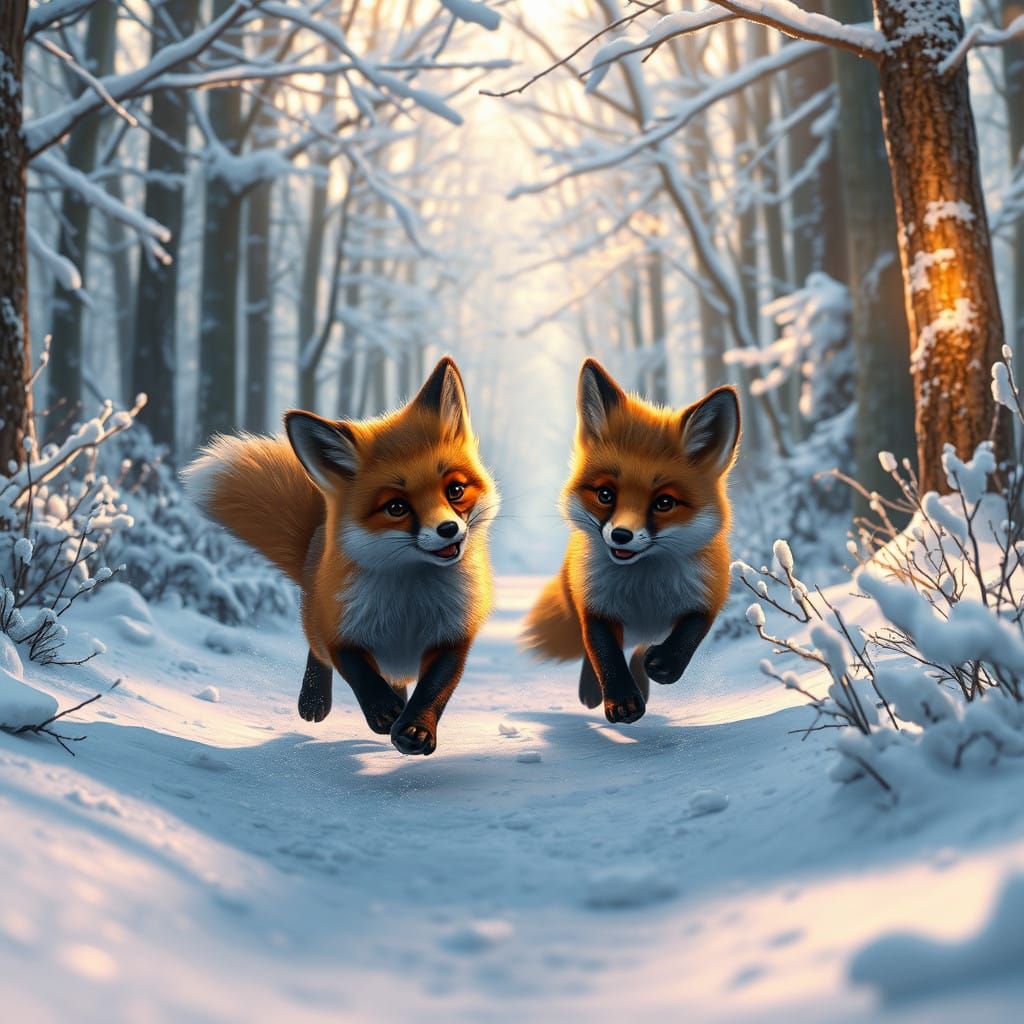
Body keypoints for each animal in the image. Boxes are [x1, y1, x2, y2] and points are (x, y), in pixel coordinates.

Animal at [182, 357, 500, 756]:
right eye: (396, 508)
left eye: (455, 490)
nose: (448, 530)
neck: (409, 603)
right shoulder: (340, 629)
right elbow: (358, 672)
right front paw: (382, 711)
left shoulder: (454, 636)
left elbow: (435, 687)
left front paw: (416, 727)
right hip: (317, 619)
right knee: (318, 652)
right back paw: (315, 700)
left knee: (398, 678)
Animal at [523, 358, 740, 725]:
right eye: (605, 495)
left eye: (664, 503)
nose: (621, 535)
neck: (644, 591)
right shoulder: (594, 604)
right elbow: (604, 653)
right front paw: (621, 701)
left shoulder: (710, 592)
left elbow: (691, 632)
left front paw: (664, 665)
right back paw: (593, 690)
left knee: (639, 650)